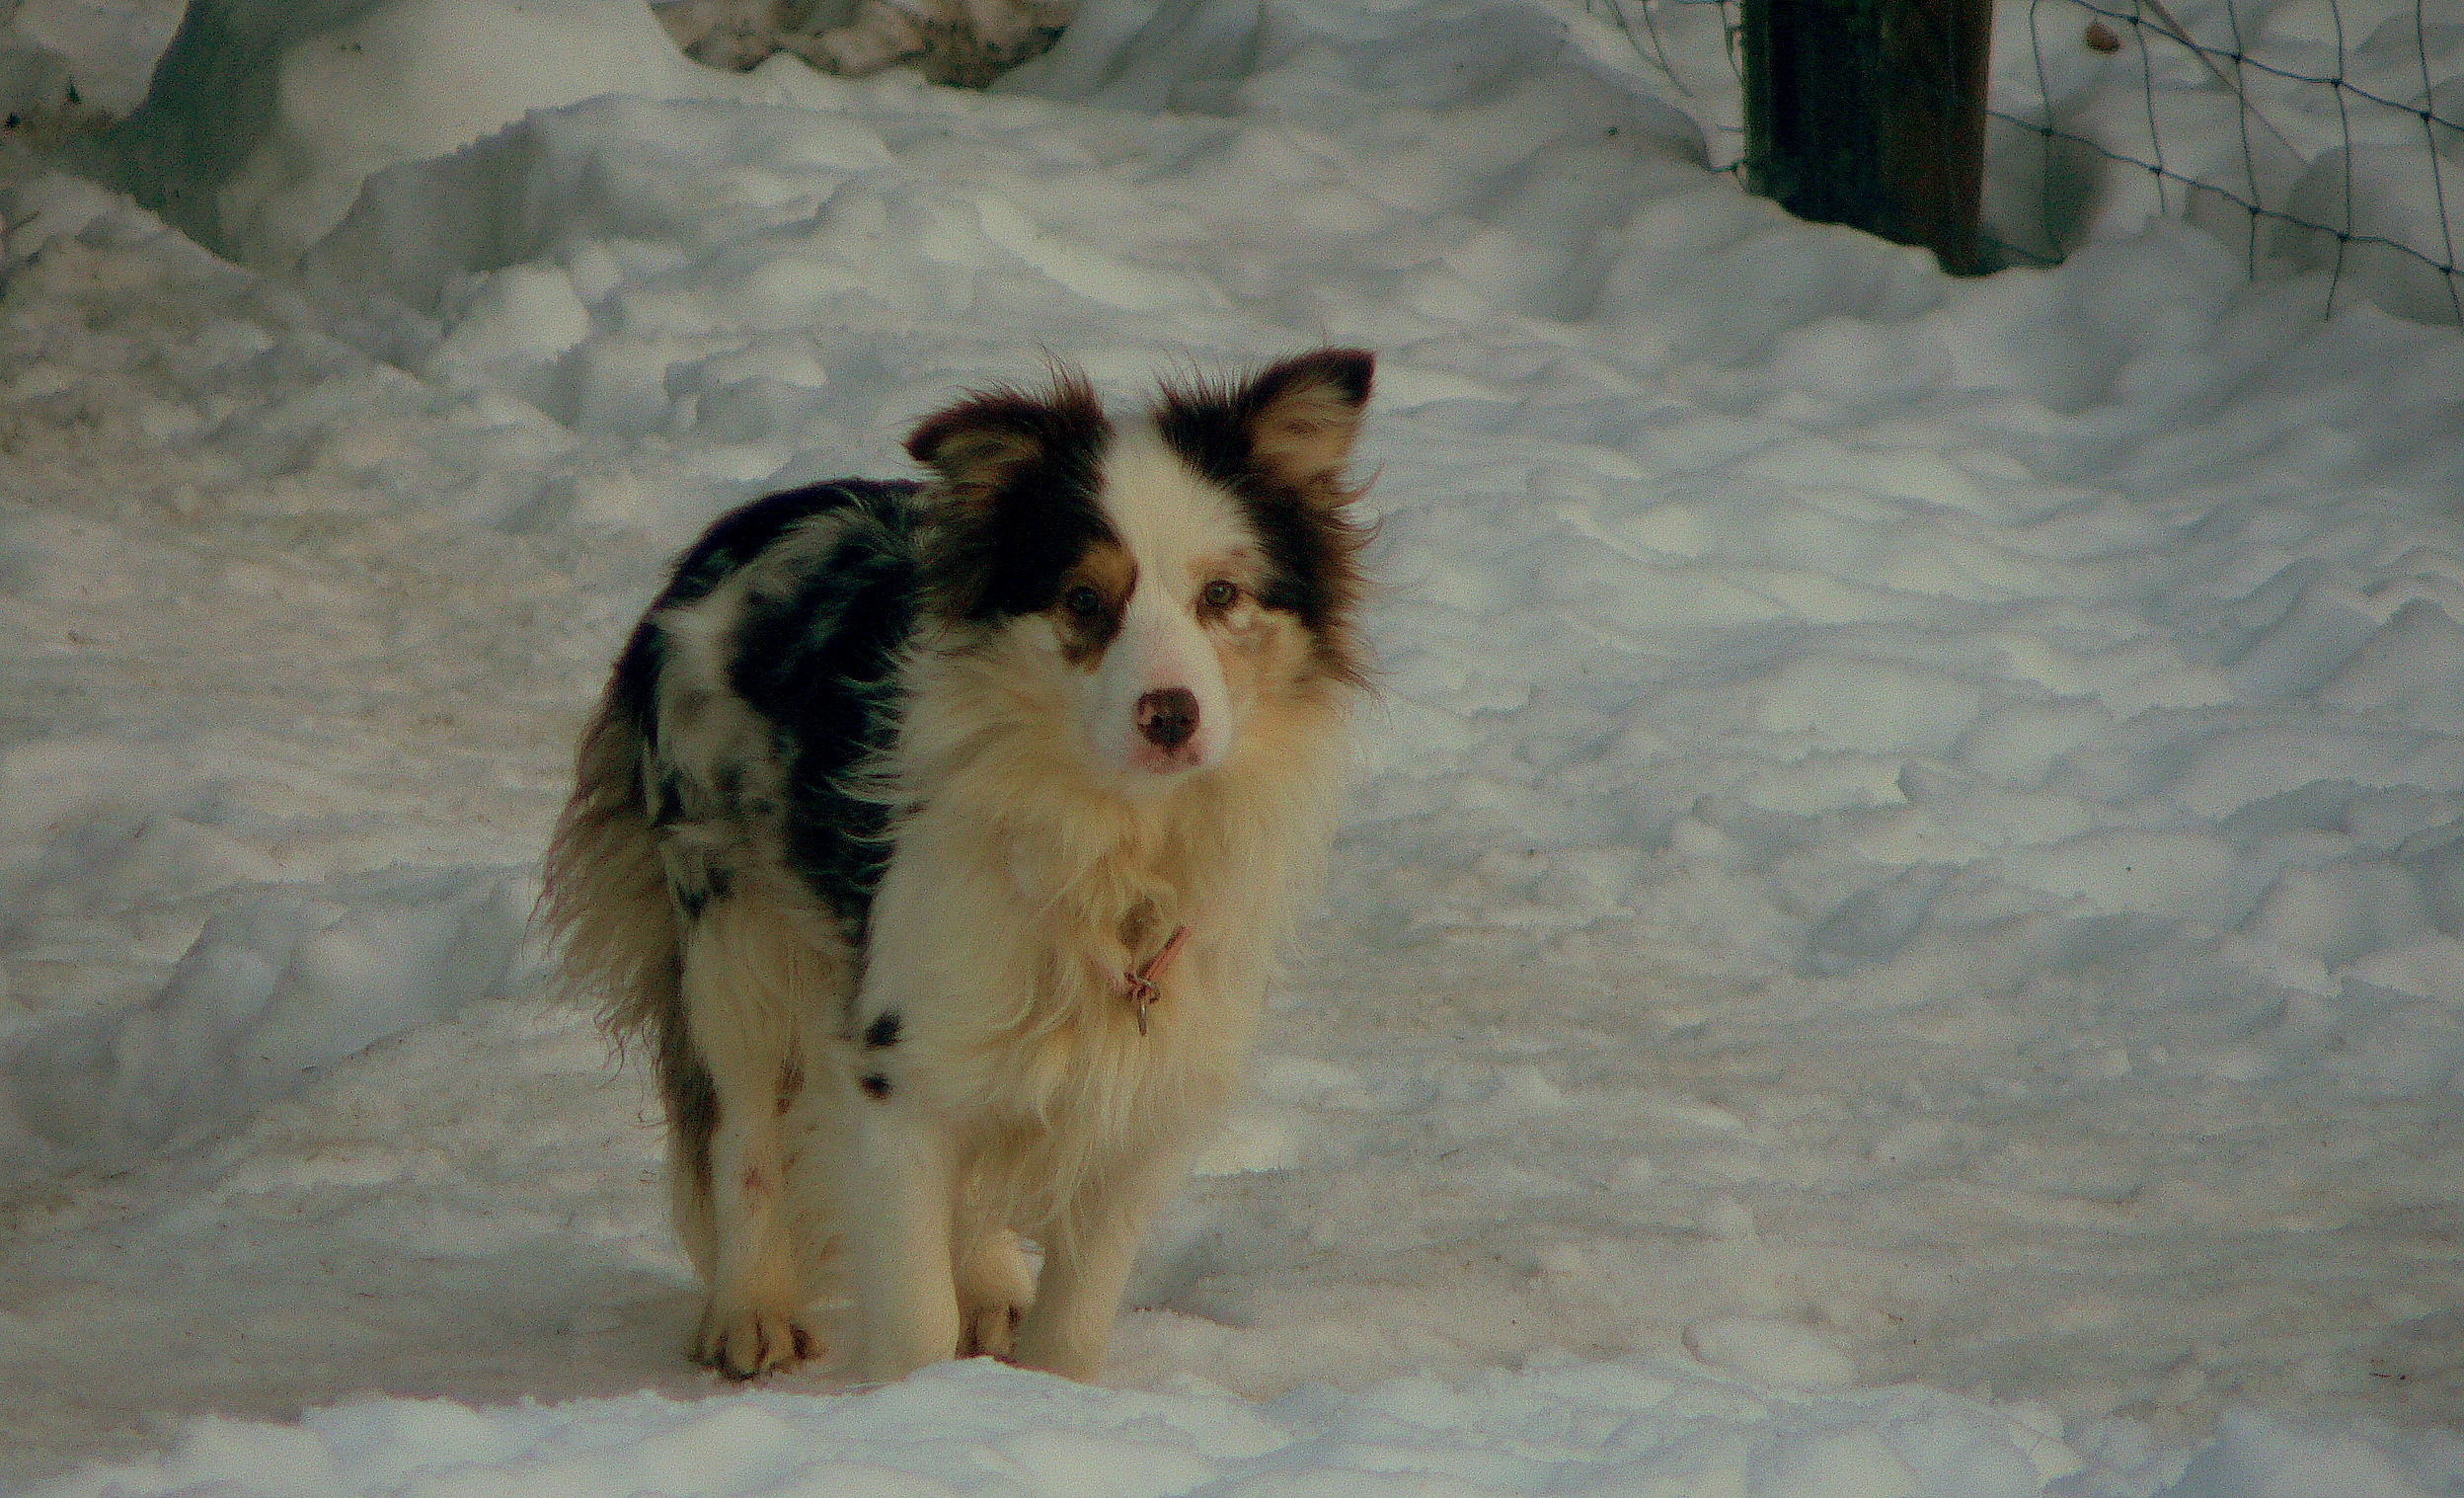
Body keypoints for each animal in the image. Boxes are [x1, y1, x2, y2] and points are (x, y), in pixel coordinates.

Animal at [541, 350, 1373, 1382]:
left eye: (1221, 595)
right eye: (1084, 599)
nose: (1171, 713)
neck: (1112, 838)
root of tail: (738, 528)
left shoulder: (1149, 1082)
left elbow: (1076, 1312)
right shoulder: (895, 1056)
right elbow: (911, 1307)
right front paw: (924, 1398)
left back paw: (991, 1287)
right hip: (728, 929)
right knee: (741, 1127)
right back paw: (751, 1309)